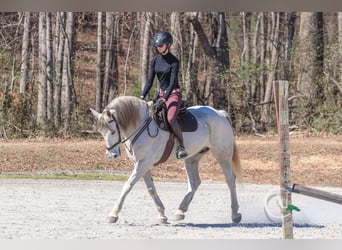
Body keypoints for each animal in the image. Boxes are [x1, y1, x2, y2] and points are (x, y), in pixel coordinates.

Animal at [89, 95, 243, 225]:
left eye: (113, 131)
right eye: (101, 132)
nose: (111, 155)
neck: (140, 125)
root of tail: (219, 113)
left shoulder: (144, 162)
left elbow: (127, 186)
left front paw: (113, 214)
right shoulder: (141, 164)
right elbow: (151, 189)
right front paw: (162, 215)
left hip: (222, 154)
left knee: (230, 179)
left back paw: (235, 214)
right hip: (192, 158)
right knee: (194, 182)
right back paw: (180, 211)